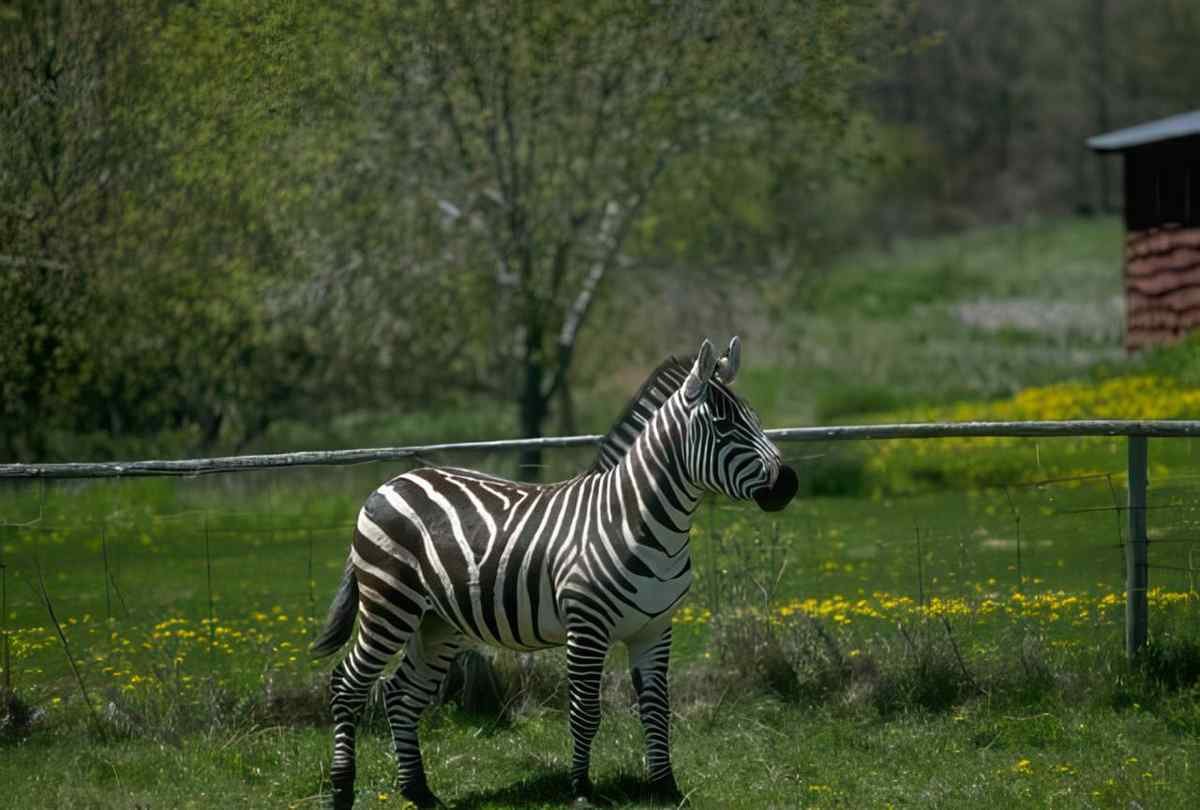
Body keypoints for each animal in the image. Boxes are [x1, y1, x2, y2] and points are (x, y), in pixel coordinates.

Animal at [311, 337, 799, 808]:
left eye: (754, 419)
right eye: (723, 426)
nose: (789, 484)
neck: (637, 519)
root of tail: (389, 483)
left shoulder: (655, 628)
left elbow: (657, 710)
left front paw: (665, 787)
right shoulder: (587, 627)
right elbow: (585, 712)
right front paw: (581, 789)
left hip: (437, 622)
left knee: (401, 694)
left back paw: (420, 793)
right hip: (389, 604)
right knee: (348, 684)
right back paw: (342, 791)